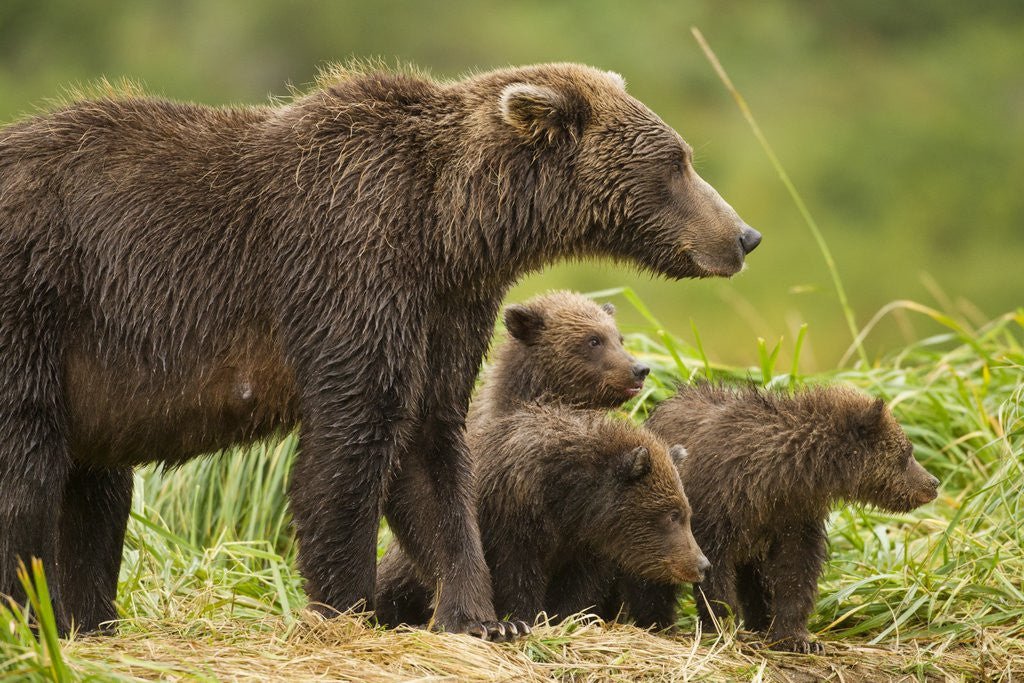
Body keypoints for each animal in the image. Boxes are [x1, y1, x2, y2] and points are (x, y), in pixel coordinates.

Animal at [376, 405, 709, 627]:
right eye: (672, 515)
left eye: (686, 512)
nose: (702, 564)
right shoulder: (514, 519)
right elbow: (517, 578)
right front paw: (526, 618)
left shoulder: (588, 546)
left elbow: (578, 589)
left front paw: (565, 618)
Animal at [613, 383, 939, 653]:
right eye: (908, 452)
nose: (933, 483)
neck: (781, 476)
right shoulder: (715, 505)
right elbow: (714, 569)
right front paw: (727, 628)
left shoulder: (793, 515)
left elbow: (796, 570)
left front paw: (797, 638)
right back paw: (658, 622)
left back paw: (759, 621)